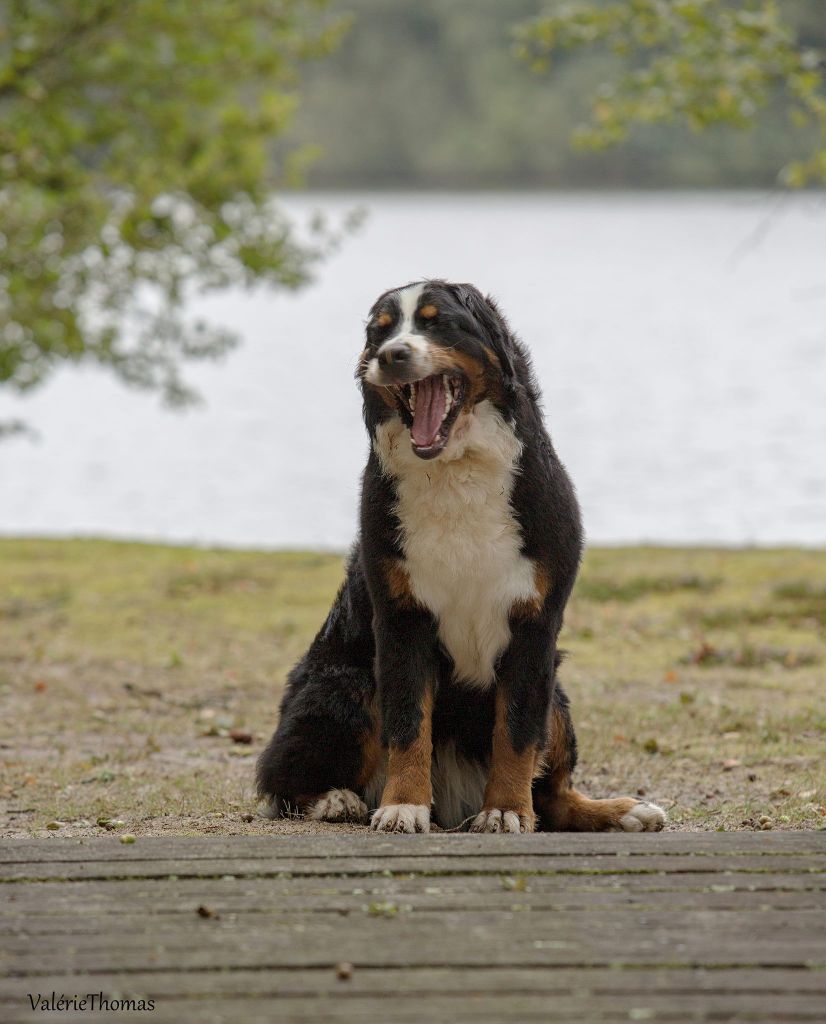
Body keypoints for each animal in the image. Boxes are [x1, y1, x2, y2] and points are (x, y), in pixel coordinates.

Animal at [257, 278, 667, 831]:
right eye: (380, 332)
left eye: (438, 324)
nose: (392, 355)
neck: (455, 471)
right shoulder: (402, 618)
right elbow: (409, 724)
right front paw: (403, 806)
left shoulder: (534, 627)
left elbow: (516, 733)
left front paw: (506, 810)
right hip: (346, 684)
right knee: (282, 777)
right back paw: (335, 800)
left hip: (557, 701)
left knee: (555, 796)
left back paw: (624, 811)